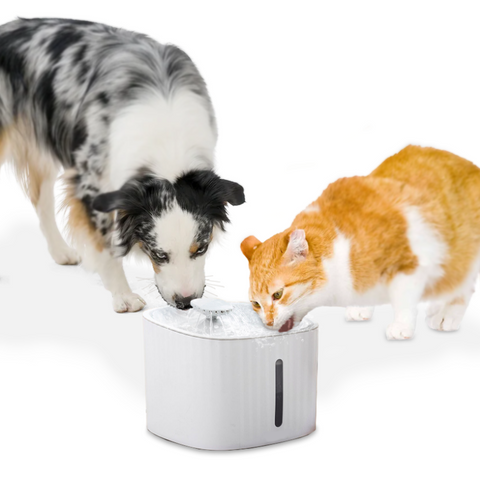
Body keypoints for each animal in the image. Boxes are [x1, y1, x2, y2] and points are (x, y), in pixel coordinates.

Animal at [0, 17, 246, 312]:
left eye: (201, 248)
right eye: (158, 255)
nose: (185, 303)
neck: (166, 142)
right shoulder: (90, 182)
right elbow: (106, 248)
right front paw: (123, 295)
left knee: (41, 200)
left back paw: (60, 251)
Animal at [242, 145, 480, 338]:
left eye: (277, 294)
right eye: (255, 303)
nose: (268, 322)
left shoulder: (408, 264)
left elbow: (404, 301)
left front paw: (402, 326)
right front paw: (362, 307)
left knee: (463, 285)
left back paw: (447, 313)